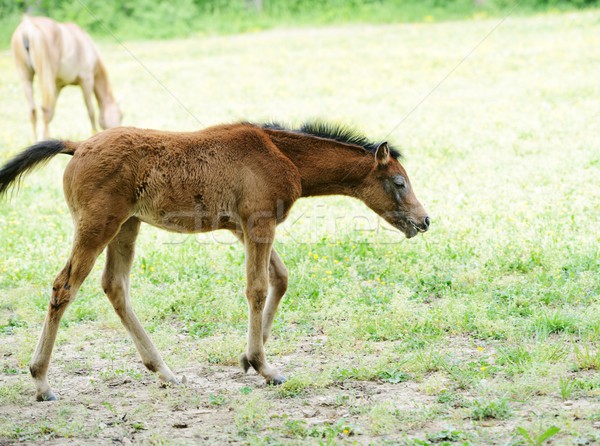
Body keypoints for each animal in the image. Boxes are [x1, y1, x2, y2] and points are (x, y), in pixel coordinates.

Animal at [1, 121, 432, 400]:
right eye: (399, 183)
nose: (424, 220)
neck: (281, 153)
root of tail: (78, 145)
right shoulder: (259, 223)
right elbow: (257, 288)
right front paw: (264, 367)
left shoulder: (243, 227)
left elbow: (280, 278)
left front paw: (247, 358)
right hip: (98, 226)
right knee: (65, 286)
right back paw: (41, 381)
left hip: (127, 225)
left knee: (115, 286)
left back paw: (164, 372)